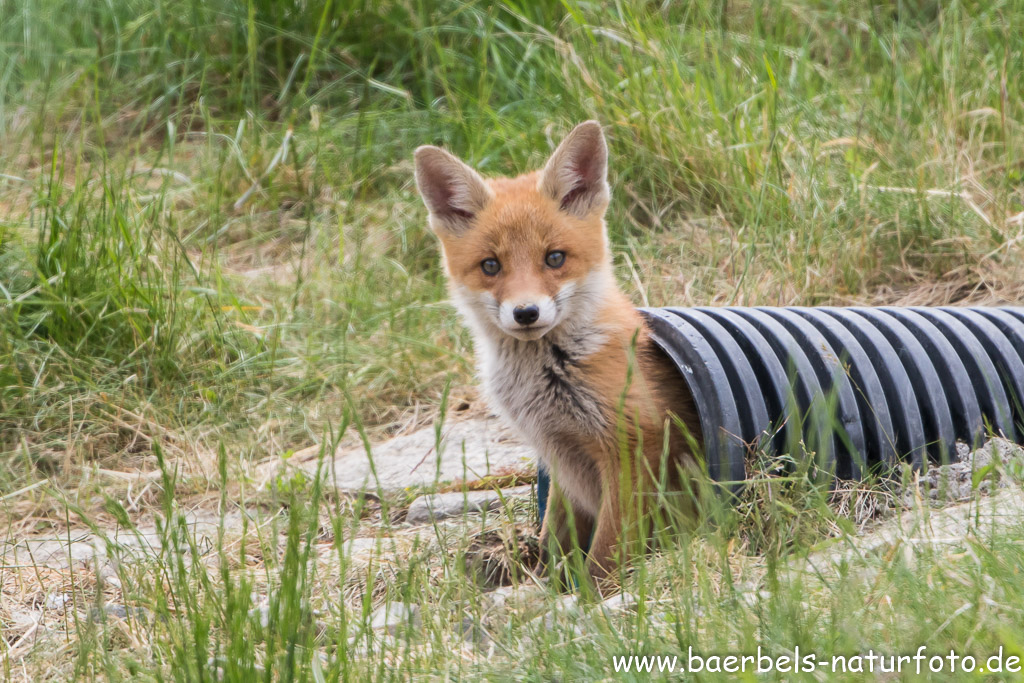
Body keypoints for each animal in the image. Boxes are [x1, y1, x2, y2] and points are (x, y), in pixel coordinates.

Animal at [411, 120, 700, 589]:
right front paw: (543, 579)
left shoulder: (633, 443)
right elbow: (555, 540)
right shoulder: (560, 461)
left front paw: (592, 595)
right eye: (491, 266)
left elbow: (606, 551)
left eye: (555, 258)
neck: (549, 377)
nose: (526, 312)